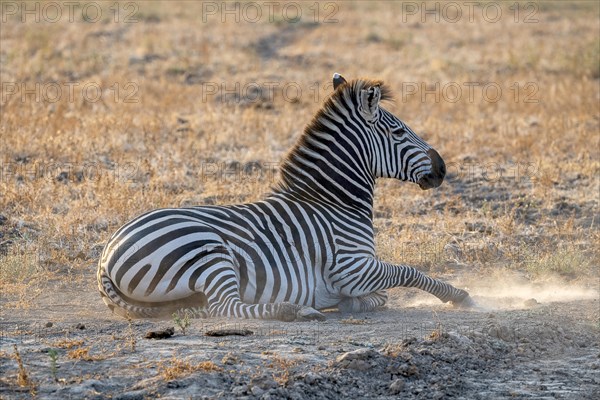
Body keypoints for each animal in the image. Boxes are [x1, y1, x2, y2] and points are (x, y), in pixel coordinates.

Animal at [97, 72, 474, 322]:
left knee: (209, 305)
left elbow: (383, 292)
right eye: (397, 131)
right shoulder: (352, 267)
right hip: (208, 251)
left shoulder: (357, 273)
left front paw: (352, 303)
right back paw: (294, 309)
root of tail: (105, 257)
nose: (442, 168)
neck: (333, 202)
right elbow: (408, 272)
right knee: (225, 306)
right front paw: (458, 296)